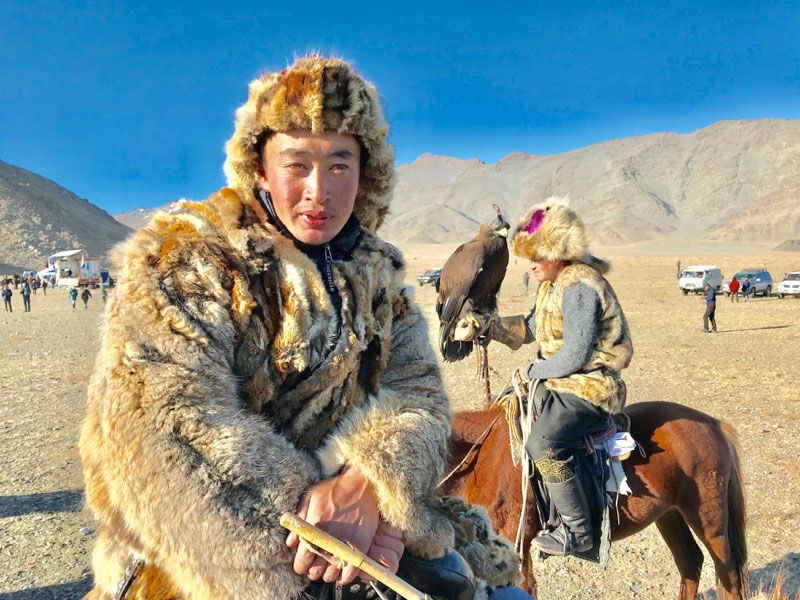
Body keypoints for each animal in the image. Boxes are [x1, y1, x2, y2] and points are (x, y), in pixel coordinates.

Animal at [440, 400, 748, 596]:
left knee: (729, 575)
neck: (482, 459)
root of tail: (713, 424)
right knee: (690, 563)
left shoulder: (515, 545)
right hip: (669, 514)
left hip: (708, 519)